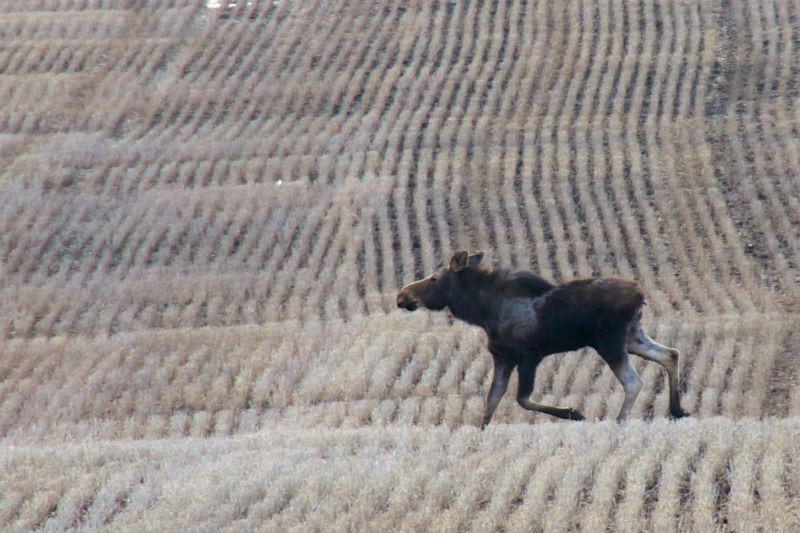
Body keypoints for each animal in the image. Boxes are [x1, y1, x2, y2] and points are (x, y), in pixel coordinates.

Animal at [396, 251, 688, 428]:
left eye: (434, 278)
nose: (402, 296)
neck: (482, 311)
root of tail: (641, 294)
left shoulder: (529, 356)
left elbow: (522, 399)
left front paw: (574, 413)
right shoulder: (503, 358)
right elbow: (491, 403)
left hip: (610, 342)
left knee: (634, 382)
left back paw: (620, 422)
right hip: (632, 337)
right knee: (670, 353)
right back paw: (678, 409)